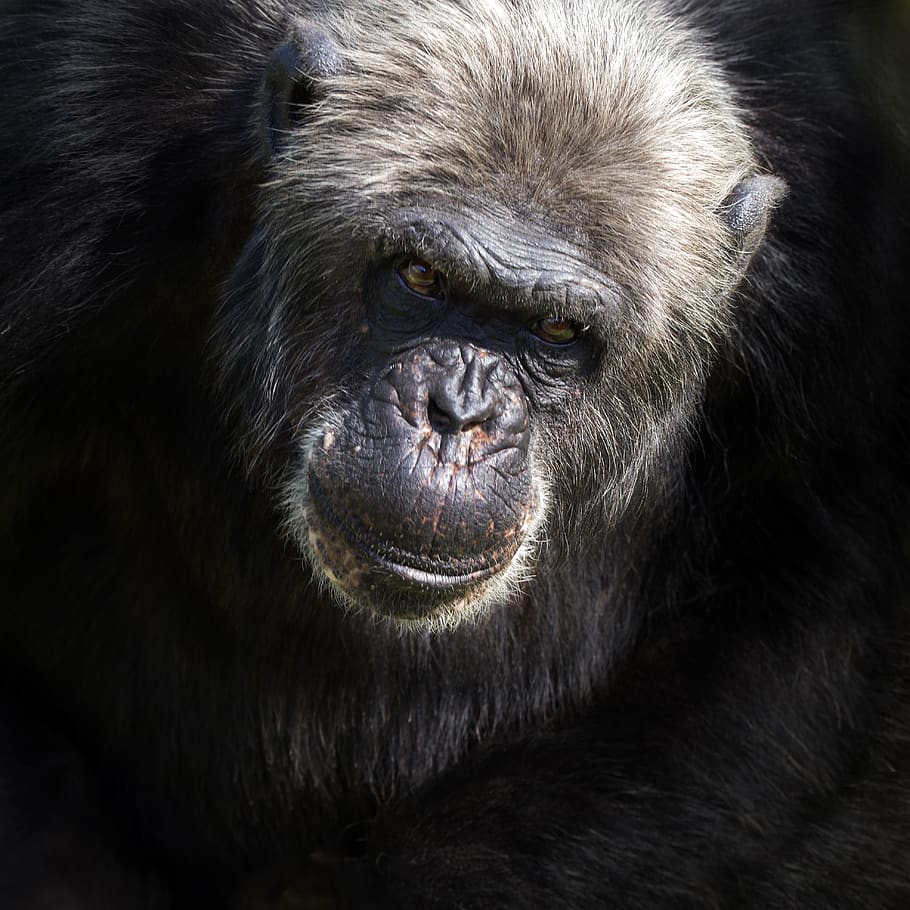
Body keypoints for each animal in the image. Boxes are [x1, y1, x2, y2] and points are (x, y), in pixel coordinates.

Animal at [0, 0, 908, 907]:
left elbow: (798, 646)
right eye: (421, 277)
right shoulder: (61, 161)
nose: (457, 414)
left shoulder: (826, 295)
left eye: (558, 330)